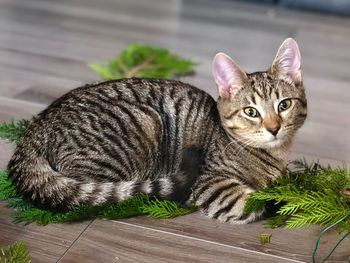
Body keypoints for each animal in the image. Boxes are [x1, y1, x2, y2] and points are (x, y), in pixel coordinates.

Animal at [6, 38, 306, 225]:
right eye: (251, 112)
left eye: (284, 105)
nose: (274, 128)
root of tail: (37, 125)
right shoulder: (212, 184)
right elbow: (256, 202)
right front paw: (280, 199)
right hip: (142, 126)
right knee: (92, 196)